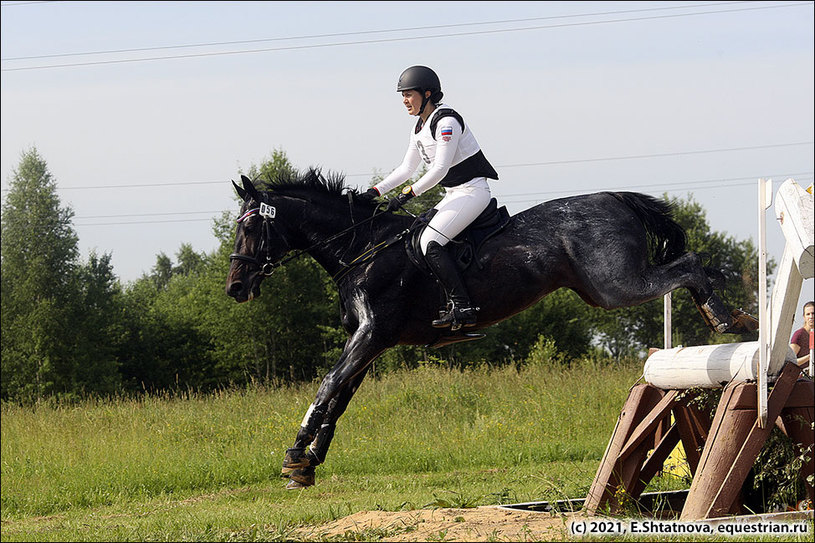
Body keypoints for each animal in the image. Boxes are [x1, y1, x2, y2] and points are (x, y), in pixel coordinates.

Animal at [225, 169, 760, 488]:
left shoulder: (372, 336)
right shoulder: (374, 342)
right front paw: (309, 463)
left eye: (250, 228)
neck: (362, 248)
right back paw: (733, 316)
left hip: (616, 285)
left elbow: (328, 383)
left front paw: (294, 454)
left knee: (689, 265)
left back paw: (728, 316)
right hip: (601, 289)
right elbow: (339, 398)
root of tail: (614, 198)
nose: (235, 288)